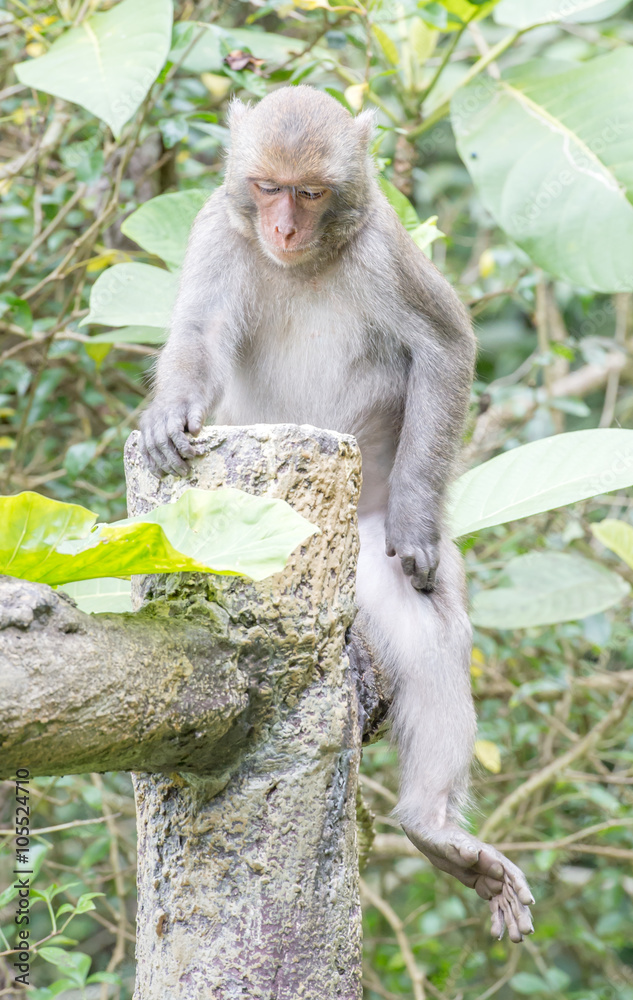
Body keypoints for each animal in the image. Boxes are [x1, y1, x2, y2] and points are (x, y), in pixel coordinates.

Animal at [139, 88, 532, 944]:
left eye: (311, 193)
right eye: (266, 187)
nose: (284, 230)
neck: (309, 261)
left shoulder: (384, 248)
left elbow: (444, 347)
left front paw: (415, 521)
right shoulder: (216, 233)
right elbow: (196, 338)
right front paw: (167, 414)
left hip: (357, 548)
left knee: (425, 622)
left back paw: (431, 826)